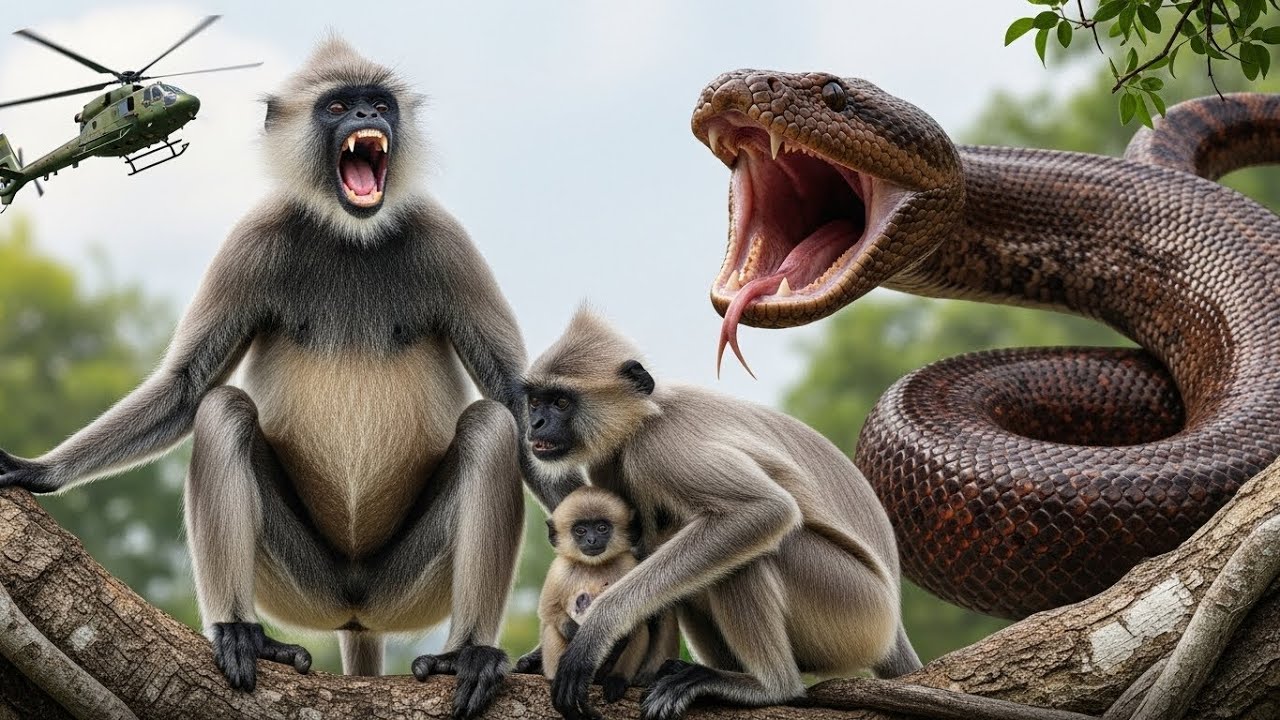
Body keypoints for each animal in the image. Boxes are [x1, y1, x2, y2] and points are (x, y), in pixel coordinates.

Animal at [0, 37, 580, 719]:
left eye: (379, 103)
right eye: (338, 107)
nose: (370, 119)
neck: (350, 233)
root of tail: (357, 609)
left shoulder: (446, 243)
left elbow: (517, 403)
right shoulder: (251, 243)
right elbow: (186, 389)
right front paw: (38, 472)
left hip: (405, 587)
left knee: (490, 428)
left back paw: (468, 653)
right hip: (302, 584)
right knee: (222, 410)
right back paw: (241, 631)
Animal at [538, 485, 678, 702]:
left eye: (602, 528)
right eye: (580, 530)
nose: (591, 539)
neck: (595, 566)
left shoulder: (628, 564)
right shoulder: (559, 570)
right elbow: (548, 611)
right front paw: (578, 635)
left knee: (638, 627)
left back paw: (616, 680)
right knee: (553, 628)